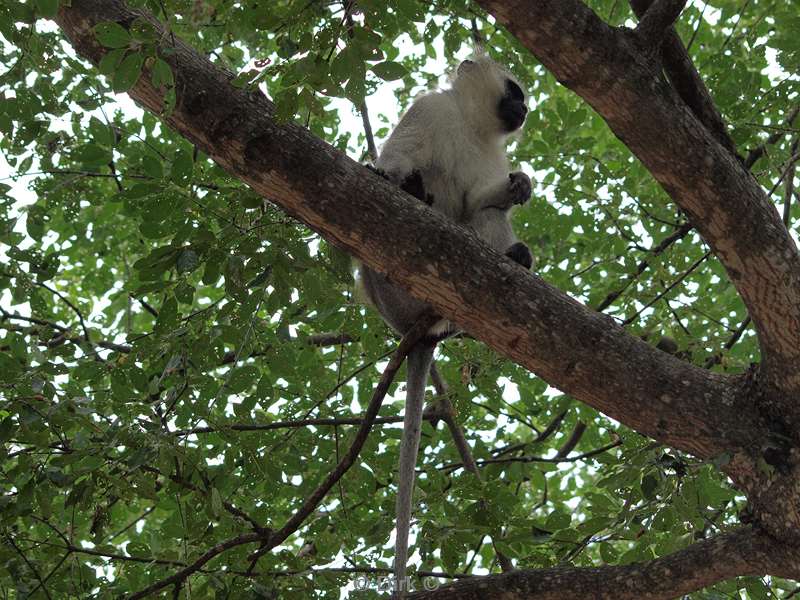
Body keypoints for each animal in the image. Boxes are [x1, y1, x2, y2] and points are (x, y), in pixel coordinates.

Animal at [354, 54, 532, 596]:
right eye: (514, 92)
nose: (525, 109)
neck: (472, 126)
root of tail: (418, 329)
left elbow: (481, 202)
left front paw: (519, 186)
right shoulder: (429, 110)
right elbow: (396, 160)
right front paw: (391, 175)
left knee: (488, 217)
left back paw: (514, 260)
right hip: (387, 286)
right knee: (413, 185)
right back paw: (414, 193)